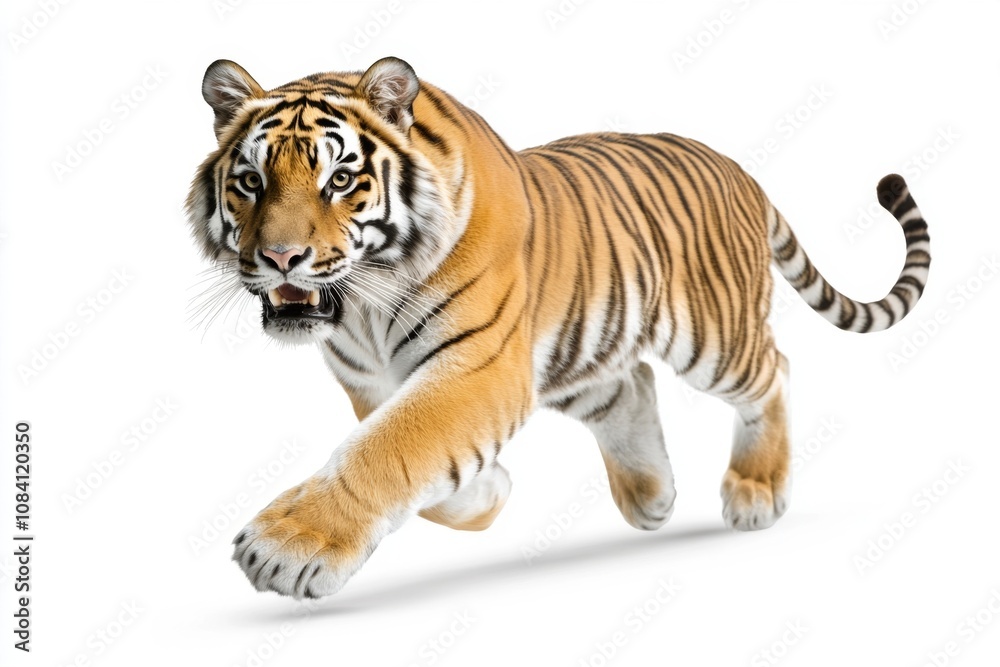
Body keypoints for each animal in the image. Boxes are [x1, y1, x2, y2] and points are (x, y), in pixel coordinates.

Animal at [185, 56, 930, 599]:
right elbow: (409, 458)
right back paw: (652, 497)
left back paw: (756, 490)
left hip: (713, 336)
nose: (281, 258)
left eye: (340, 179)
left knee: (775, 370)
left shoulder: (478, 365)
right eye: (250, 181)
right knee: (631, 386)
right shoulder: (371, 380)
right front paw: (487, 495)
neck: (362, 307)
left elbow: (388, 450)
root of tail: (741, 170)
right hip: (578, 351)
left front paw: (286, 546)